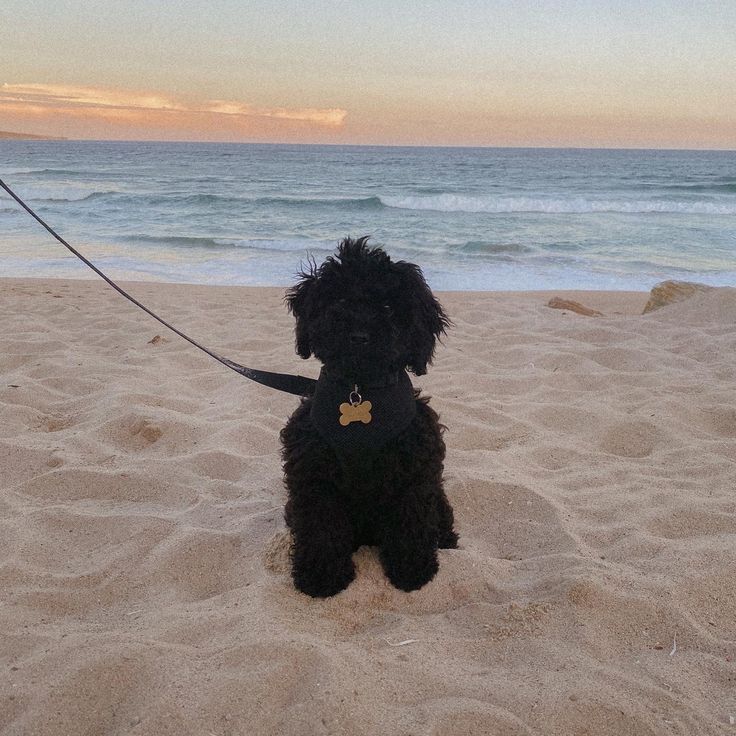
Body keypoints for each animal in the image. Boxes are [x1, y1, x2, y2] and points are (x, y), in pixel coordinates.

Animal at [280, 237, 458, 600]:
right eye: (339, 299)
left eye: (388, 307)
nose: (359, 335)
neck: (360, 391)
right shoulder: (315, 476)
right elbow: (320, 527)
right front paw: (322, 577)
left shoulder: (414, 473)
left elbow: (412, 522)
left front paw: (413, 571)